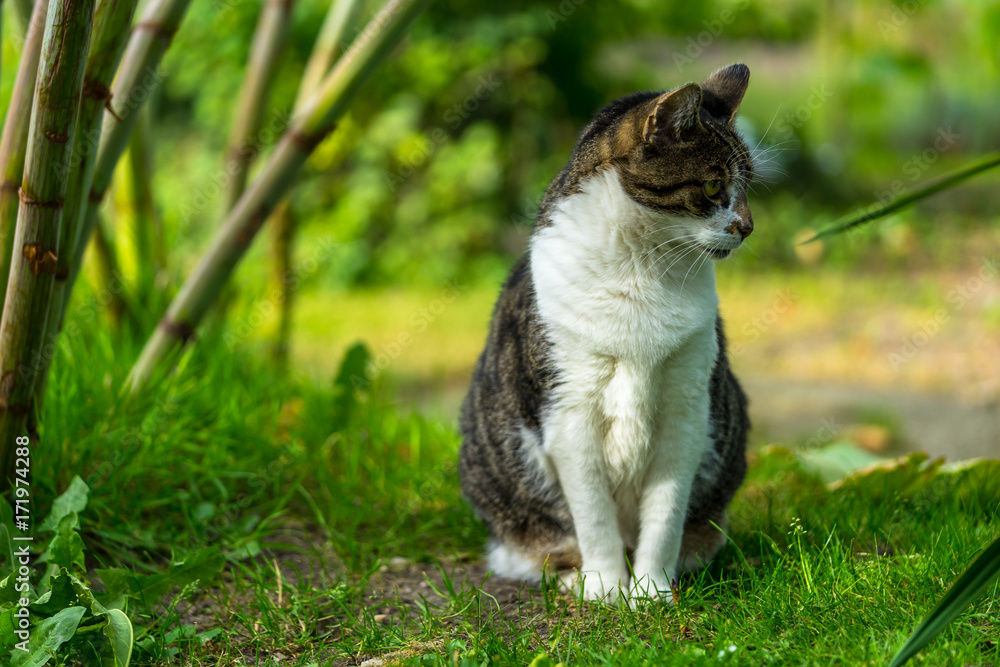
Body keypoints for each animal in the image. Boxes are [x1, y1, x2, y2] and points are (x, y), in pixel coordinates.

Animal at [458, 64, 752, 604]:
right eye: (713, 185)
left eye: (749, 189)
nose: (747, 227)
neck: (643, 269)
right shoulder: (569, 413)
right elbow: (594, 517)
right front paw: (606, 589)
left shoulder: (687, 409)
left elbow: (665, 515)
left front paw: (651, 591)